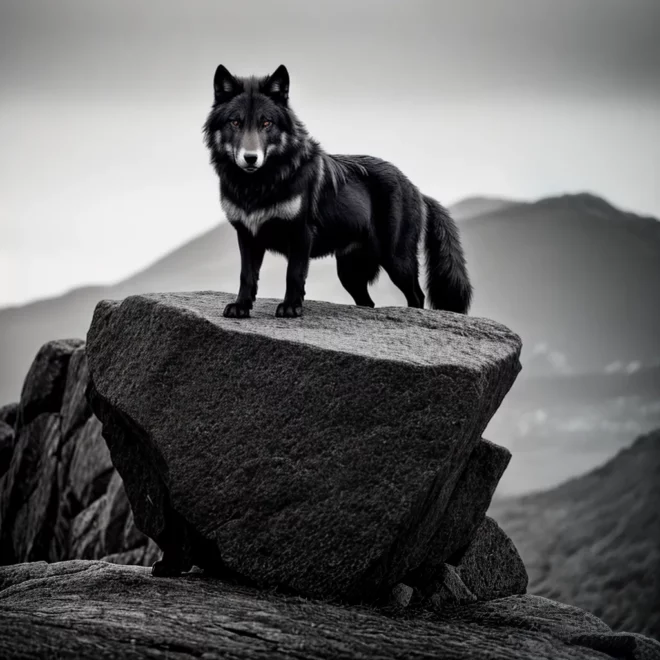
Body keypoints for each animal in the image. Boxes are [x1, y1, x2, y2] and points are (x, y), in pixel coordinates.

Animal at [203, 64, 472, 318]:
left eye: (266, 123)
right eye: (235, 122)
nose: (250, 158)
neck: (257, 185)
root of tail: (417, 189)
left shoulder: (301, 234)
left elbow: (294, 274)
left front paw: (290, 308)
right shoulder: (247, 235)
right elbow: (246, 276)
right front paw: (241, 307)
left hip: (397, 261)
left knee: (417, 295)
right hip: (349, 272)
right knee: (368, 303)